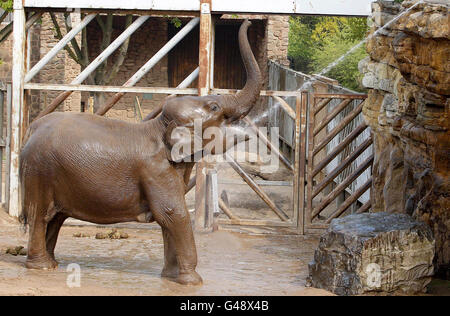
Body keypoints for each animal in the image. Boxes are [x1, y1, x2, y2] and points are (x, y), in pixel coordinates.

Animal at [19, 19, 262, 286]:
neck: (159, 126)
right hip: (39, 172)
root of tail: (31, 129)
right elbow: (173, 213)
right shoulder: (155, 170)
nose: (248, 21)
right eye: (215, 107)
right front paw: (193, 281)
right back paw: (41, 266)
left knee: (56, 218)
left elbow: (169, 218)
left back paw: (53, 263)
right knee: (41, 216)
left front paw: (170, 277)